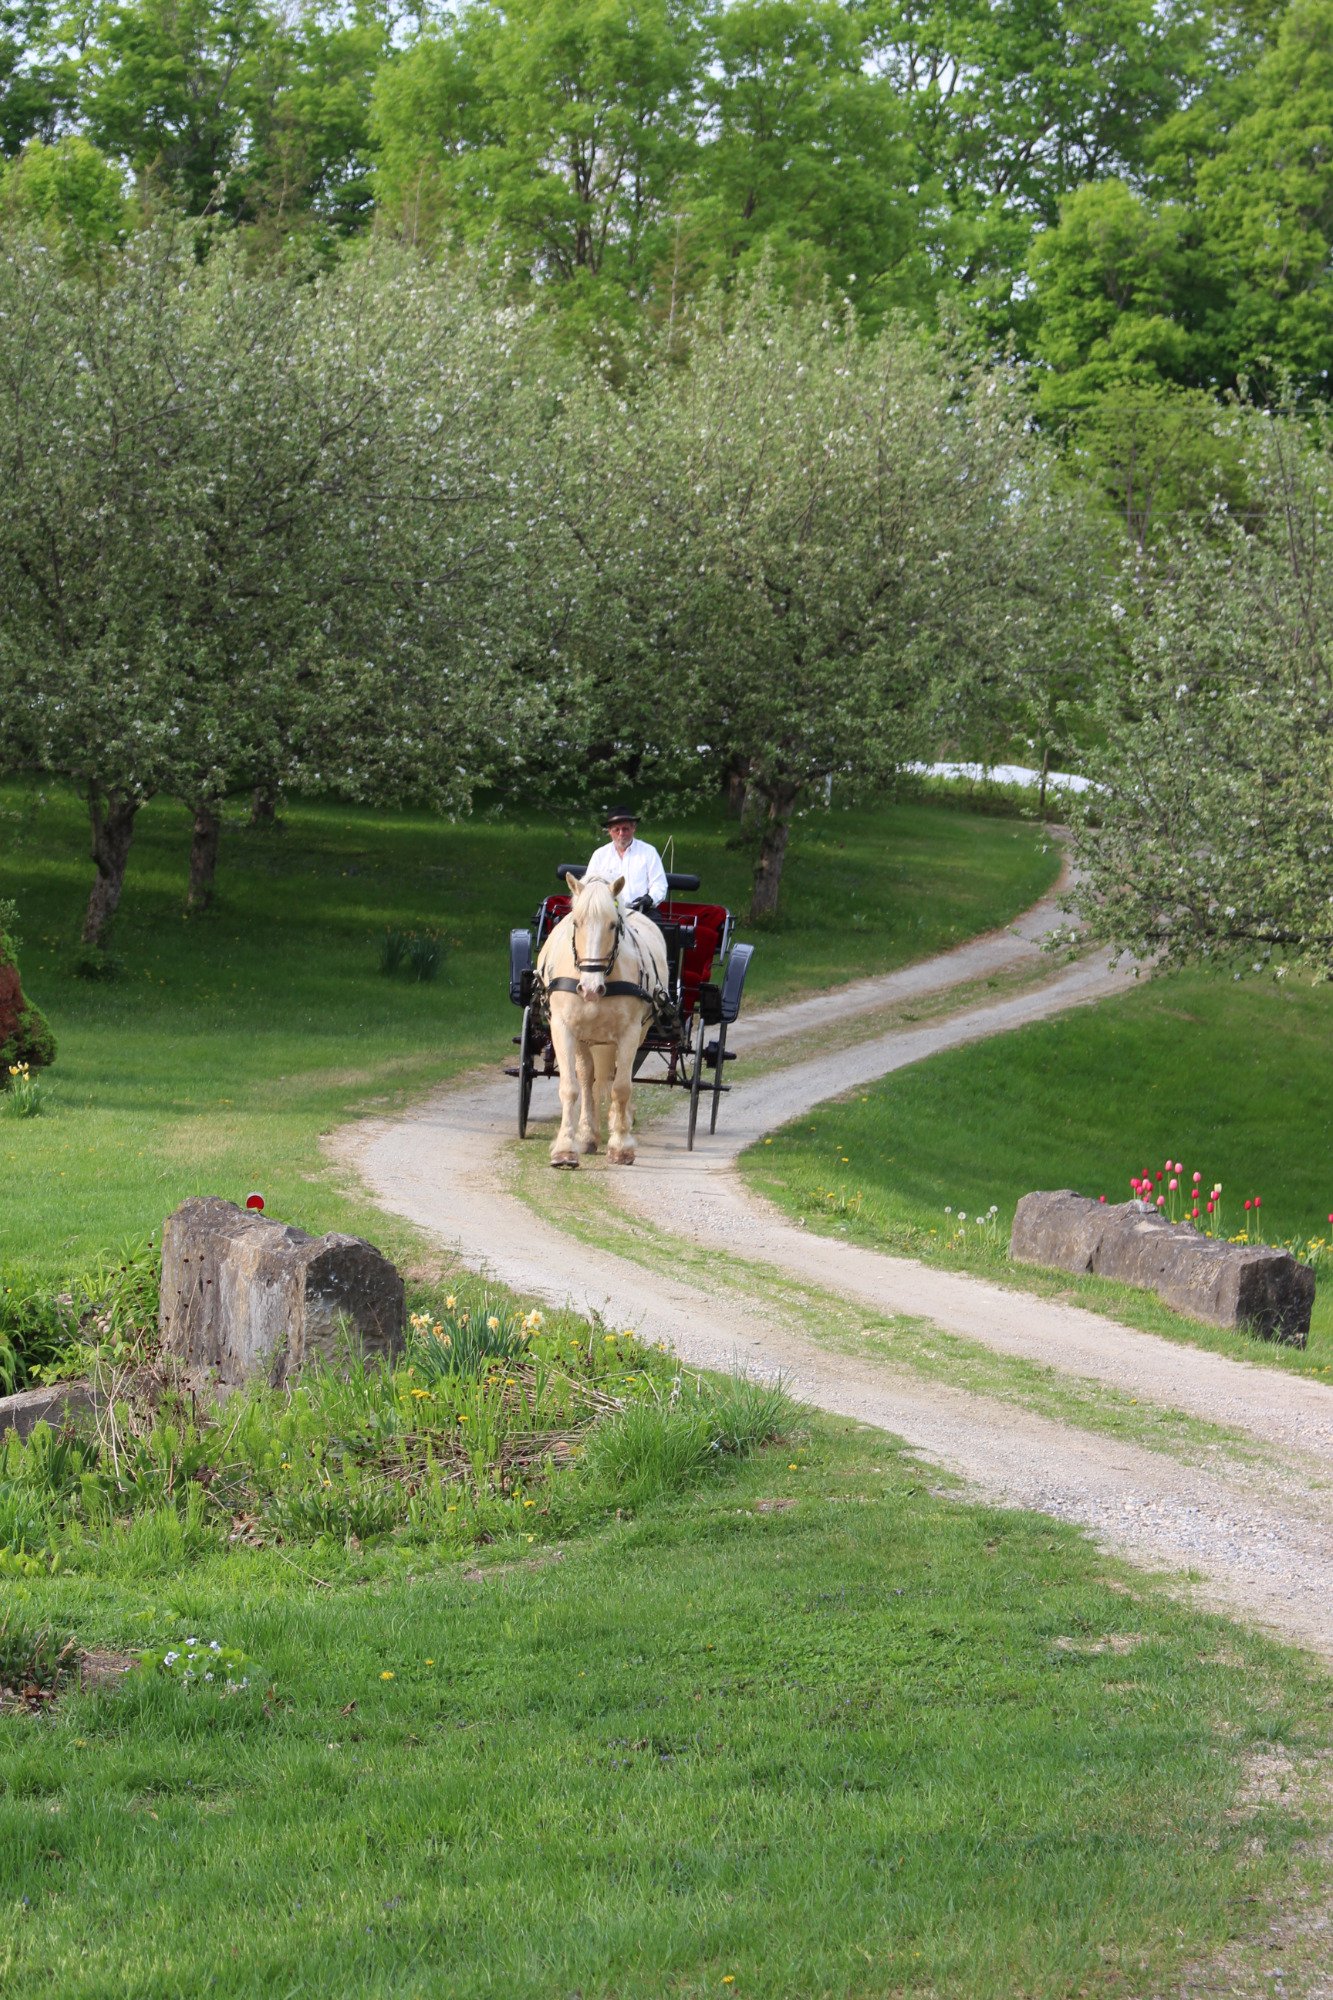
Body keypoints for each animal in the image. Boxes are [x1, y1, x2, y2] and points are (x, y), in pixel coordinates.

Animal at [536, 868, 668, 1168]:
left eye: (612, 925)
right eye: (577, 922)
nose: (590, 989)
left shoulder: (629, 1032)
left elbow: (621, 1087)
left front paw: (620, 1144)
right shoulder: (563, 1028)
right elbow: (571, 1087)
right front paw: (565, 1148)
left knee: (611, 1076)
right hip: (586, 1038)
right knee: (588, 1078)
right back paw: (587, 1135)